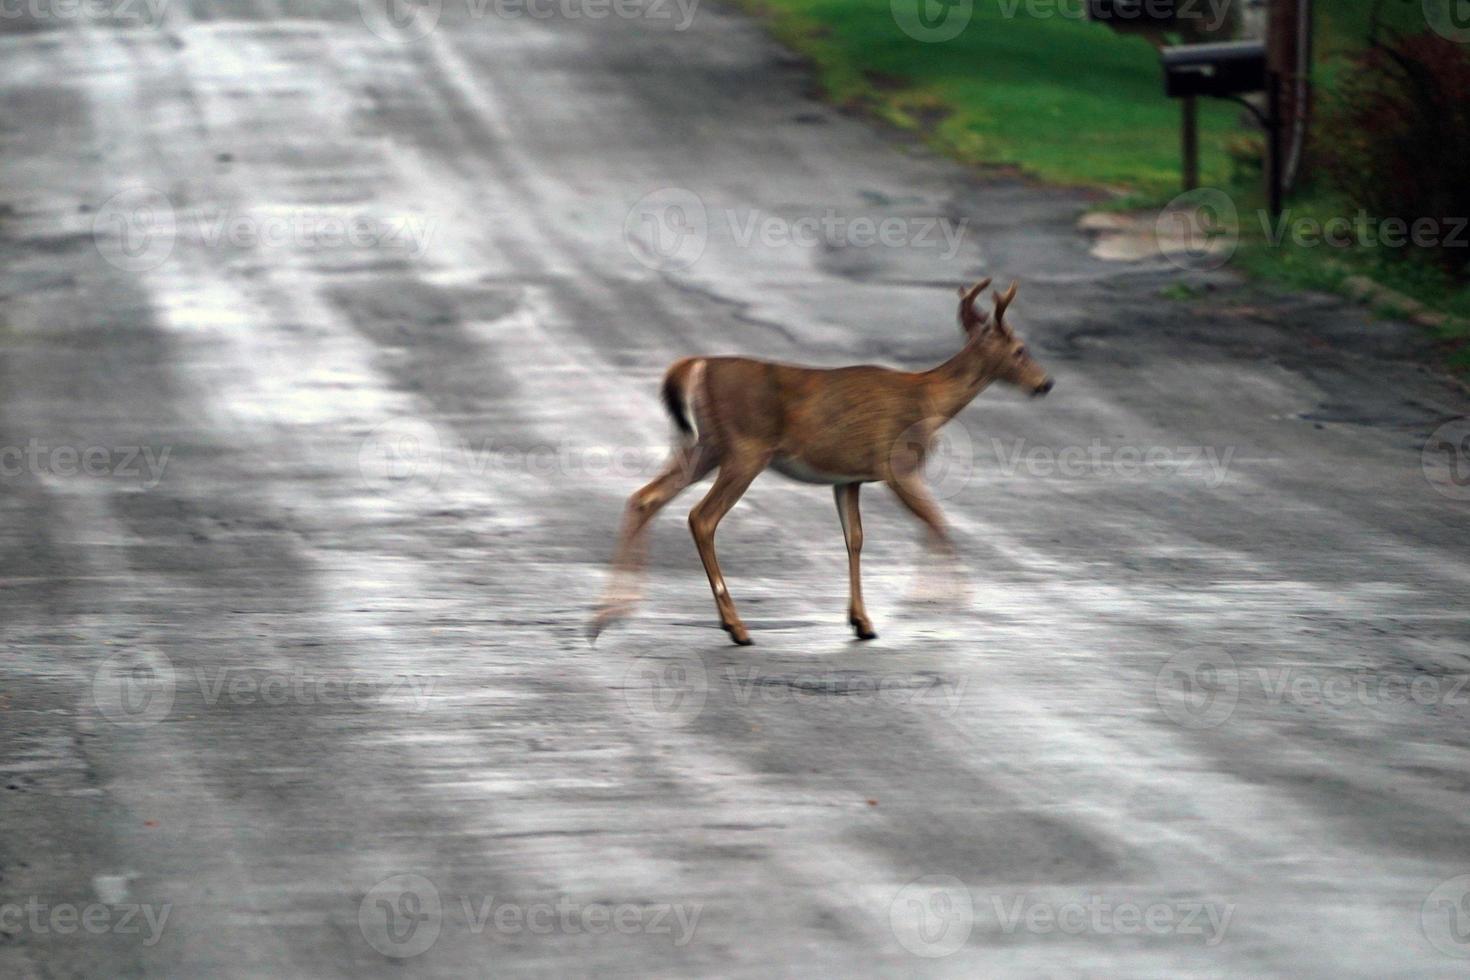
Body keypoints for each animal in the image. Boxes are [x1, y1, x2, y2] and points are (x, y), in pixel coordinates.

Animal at [590, 279, 1052, 646]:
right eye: (1020, 349)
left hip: (706, 446)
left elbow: (855, 539)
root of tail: (698, 366)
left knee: (645, 497)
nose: (1045, 383)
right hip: (745, 448)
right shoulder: (897, 463)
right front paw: (940, 603)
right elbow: (936, 522)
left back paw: (608, 616)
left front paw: (861, 621)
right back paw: (735, 627)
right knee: (701, 517)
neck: (929, 401)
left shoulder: (848, 478)